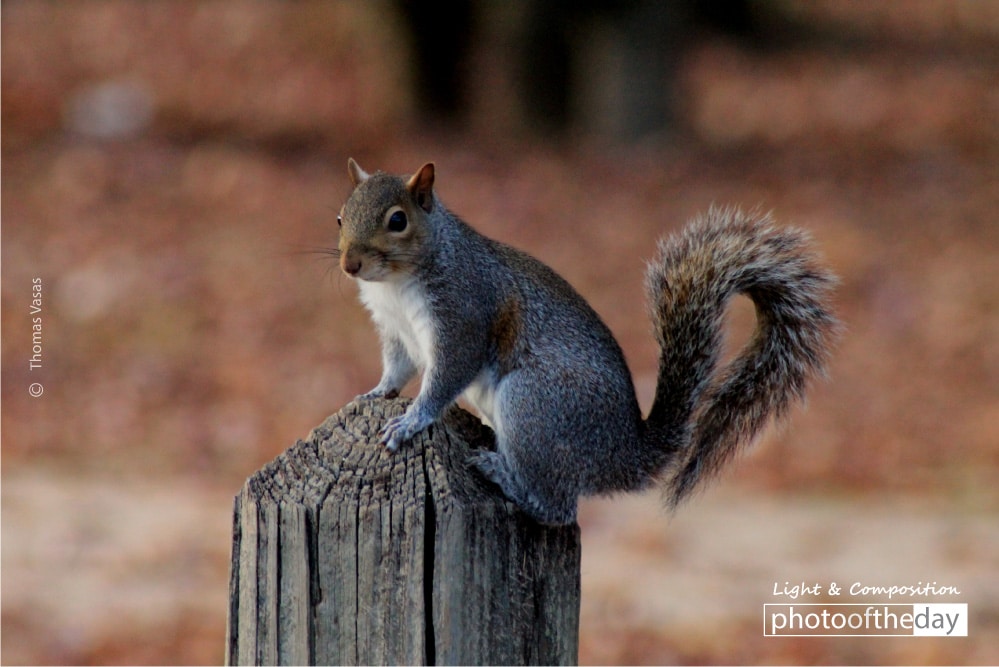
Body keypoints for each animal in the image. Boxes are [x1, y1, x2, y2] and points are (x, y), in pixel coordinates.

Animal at [336, 158, 836, 528]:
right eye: (340, 216)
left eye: (397, 220)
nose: (349, 265)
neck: (396, 284)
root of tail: (622, 455)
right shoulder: (395, 331)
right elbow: (398, 368)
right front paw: (375, 393)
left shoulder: (464, 316)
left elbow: (446, 377)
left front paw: (411, 421)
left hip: (535, 406)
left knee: (556, 508)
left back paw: (503, 475)